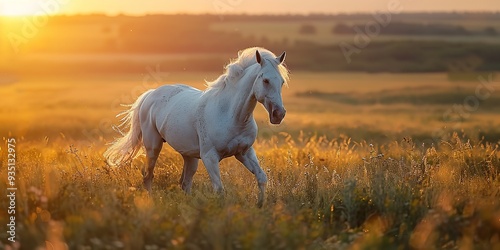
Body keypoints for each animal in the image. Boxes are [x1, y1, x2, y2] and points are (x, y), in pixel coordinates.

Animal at [104, 47, 290, 207]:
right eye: (265, 80)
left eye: (281, 82)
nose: (278, 114)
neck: (232, 115)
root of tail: (150, 94)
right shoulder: (210, 157)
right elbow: (219, 189)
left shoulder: (244, 153)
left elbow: (261, 178)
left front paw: (260, 206)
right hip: (153, 146)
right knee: (148, 175)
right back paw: (149, 202)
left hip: (190, 157)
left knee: (184, 183)